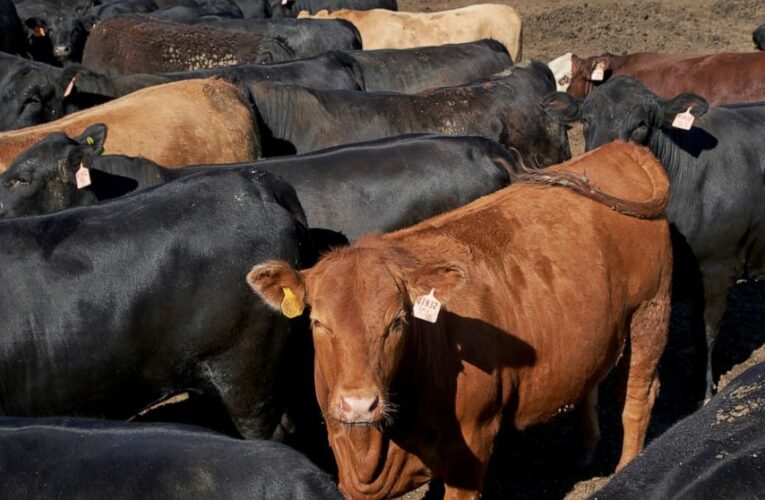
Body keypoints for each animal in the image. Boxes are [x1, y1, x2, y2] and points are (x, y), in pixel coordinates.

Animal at [246, 141, 673, 498]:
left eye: (397, 322)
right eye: (318, 322)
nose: (359, 405)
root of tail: (620, 150)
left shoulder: (471, 446)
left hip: (651, 311)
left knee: (639, 396)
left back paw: (627, 469)